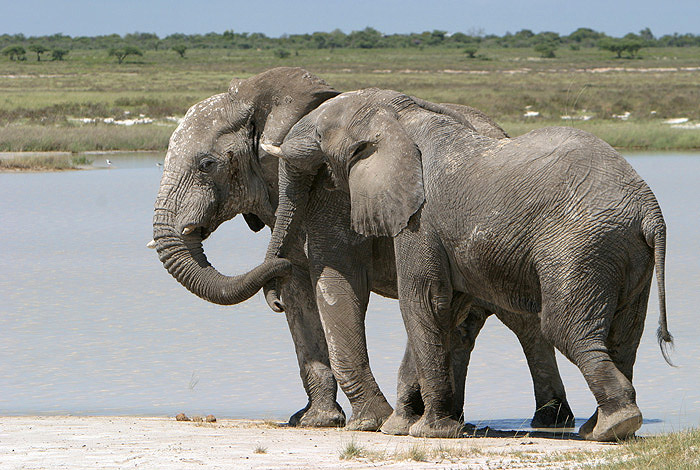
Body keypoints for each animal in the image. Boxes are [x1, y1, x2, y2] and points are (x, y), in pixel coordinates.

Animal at [153, 67, 576, 434]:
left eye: (207, 164)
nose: (270, 300)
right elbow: (301, 293)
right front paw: (315, 421)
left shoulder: (333, 197)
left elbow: (336, 283)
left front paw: (370, 422)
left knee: (521, 321)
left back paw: (549, 420)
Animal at [262, 87, 672, 440]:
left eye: (319, 130)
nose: (277, 302)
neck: (403, 116)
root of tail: (649, 210)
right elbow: (447, 309)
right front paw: (404, 426)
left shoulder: (420, 218)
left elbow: (424, 302)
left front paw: (426, 431)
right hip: (625, 254)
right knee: (624, 335)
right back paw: (600, 427)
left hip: (580, 246)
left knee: (564, 328)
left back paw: (613, 425)